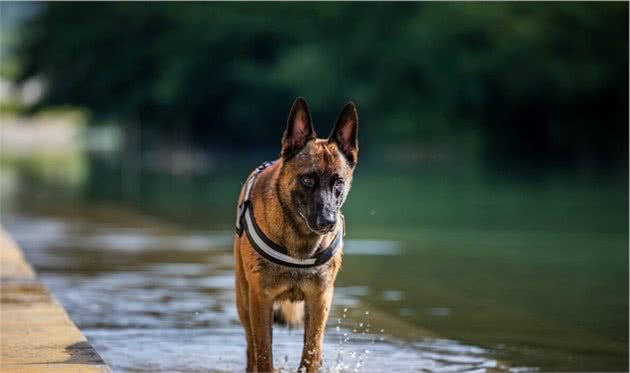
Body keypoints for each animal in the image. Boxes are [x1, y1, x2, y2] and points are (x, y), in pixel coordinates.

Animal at [233, 97, 360, 370]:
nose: (328, 222)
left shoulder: (319, 300)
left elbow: (311, 352)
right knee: (250, 349)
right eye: (307, 180)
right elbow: (263, 354)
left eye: (338, 183)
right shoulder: (261, 299)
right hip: (243, 300)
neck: (300, 242)